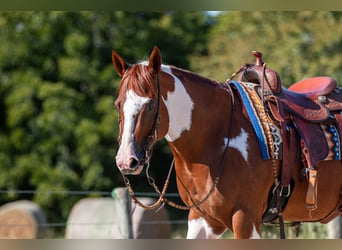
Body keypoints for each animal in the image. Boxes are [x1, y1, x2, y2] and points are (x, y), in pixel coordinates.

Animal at [113, 46, 342, 239]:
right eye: (118, 105)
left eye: (150, 104)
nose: (126, 161)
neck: (216, 137)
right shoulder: (202, 219)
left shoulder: (245, 219)